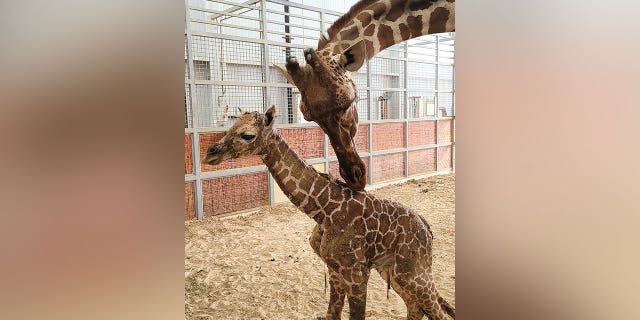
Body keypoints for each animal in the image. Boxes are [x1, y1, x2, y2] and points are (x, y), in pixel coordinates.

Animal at [202, 106, 452, 318]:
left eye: (248, 135)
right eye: (230, 127)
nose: (209, 154)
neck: (323, 210)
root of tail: (427, 228)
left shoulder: (356, 272)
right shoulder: (334, 269)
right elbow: (333, 312)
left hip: (414, 272)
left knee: (436, 311)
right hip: (393, 270)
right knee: (415, 308)